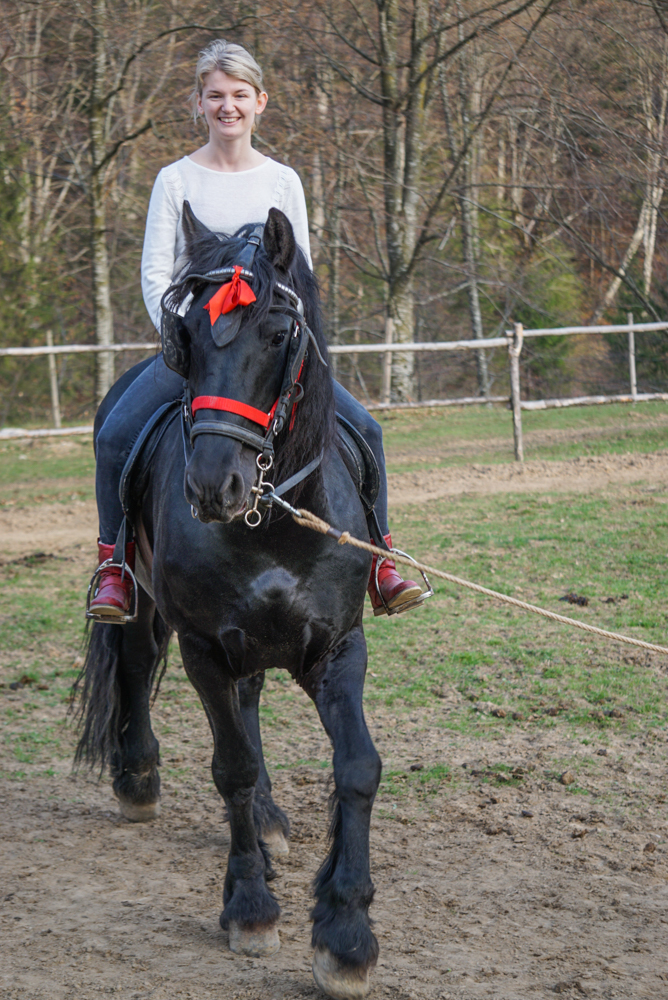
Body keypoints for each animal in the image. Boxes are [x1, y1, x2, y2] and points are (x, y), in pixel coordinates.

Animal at [75, 207, 380, 996]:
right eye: (181, 337)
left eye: (276, 334)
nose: (215, 485)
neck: (273, 521)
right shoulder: (205, 648)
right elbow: (231, 768)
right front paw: (250, 907)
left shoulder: (337, 646)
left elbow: (357, 768)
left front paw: (346, 933)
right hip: (146, 602)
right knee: (136, 662)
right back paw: (139, 779)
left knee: (249, 706)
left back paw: (269, 820)